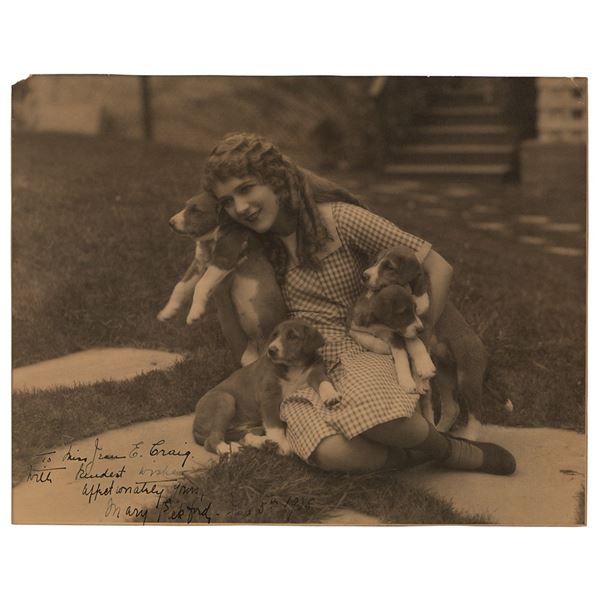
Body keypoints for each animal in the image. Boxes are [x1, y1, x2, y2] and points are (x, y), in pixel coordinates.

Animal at [157, 195, 288, 368]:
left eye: (196, 210)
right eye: (186, 207)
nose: (170, 222)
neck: (212, 238)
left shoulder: (223, 259)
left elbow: (201, 285)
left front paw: (194, 312)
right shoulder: (199, 264)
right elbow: (180, 287)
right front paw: (168, 311)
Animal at [195, 322, 340, 458]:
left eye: (293, 336)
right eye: (274, 336)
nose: (271, 350)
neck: (294, 367)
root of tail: (195, 426)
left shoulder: (315, 372)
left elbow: (324, 383)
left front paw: (331, 396)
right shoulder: (269, 397)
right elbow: (274, 424)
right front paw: (282, 444)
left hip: (246, 426)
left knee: (244, 435)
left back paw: (263, 443)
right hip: (226, 400)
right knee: (211, 440)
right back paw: (228, 449)